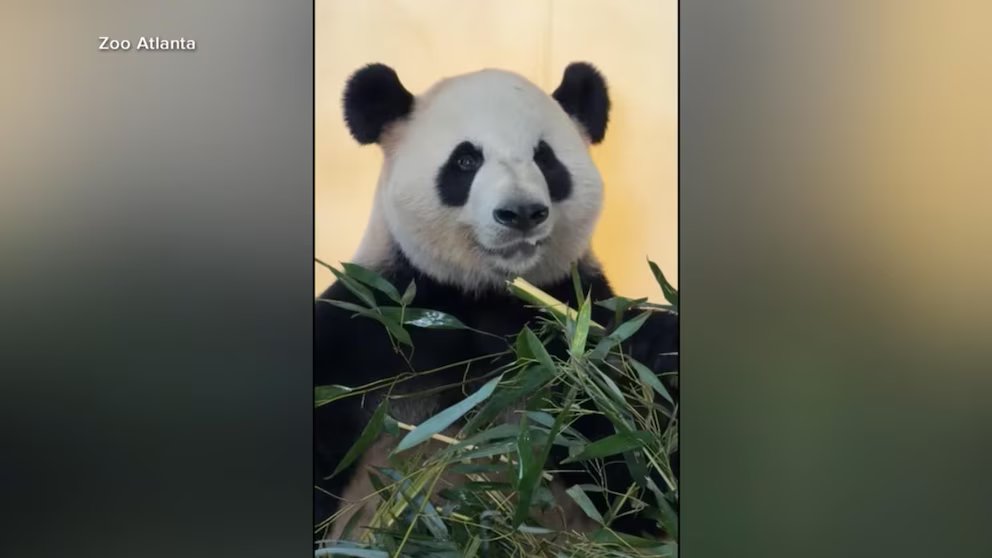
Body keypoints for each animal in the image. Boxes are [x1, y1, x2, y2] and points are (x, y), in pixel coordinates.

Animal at [315, 62, 678, 542]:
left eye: (545, 158)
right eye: (466, 160)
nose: (522, 213)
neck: (484, 294)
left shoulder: (572, 322)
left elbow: (633, 480)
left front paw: (658, 348)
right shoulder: (368, 327)